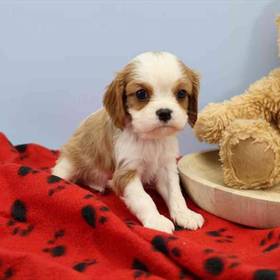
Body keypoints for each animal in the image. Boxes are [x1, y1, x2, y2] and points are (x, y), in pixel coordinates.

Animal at [52, 51, 205, 233]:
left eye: (181, 93)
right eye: (141, 94)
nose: (164, 113)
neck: (151, 139)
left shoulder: (167, 166)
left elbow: (175, 193)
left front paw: (185, 214)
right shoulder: (126, 172)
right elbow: (144, 199)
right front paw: (156, 220)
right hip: (71, 160)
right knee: (59, 172)